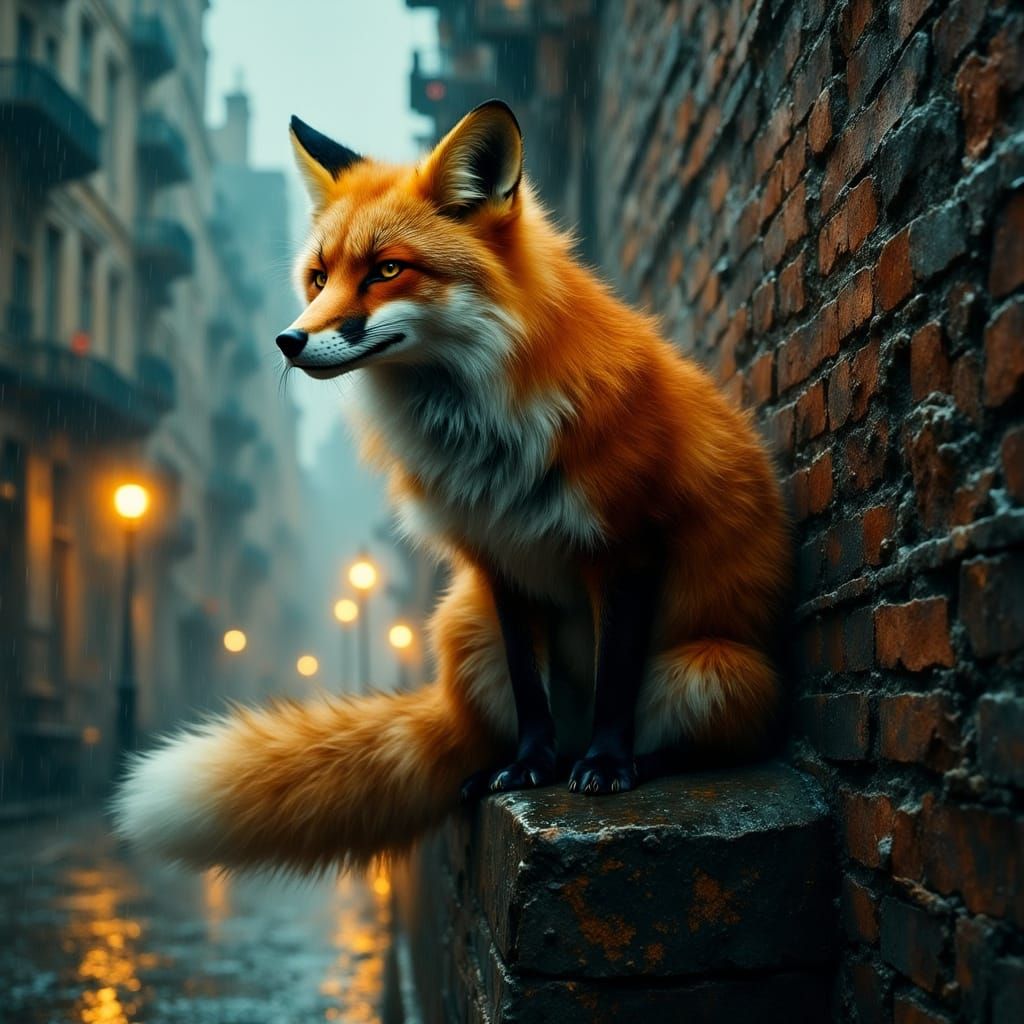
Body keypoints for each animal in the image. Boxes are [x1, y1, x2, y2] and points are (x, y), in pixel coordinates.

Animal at [113, 101, 790, 875]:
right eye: (318, 277)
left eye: (387, 270)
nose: (287, 341)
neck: (485, 442)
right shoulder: (500, 561)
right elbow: (530, 695)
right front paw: (527, 770)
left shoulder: (628, 546)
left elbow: (616, 682)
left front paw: (606, 767)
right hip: (466, 628)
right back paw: (512, 765)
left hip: (712, 672)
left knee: (690, 737)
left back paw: (621, 761)